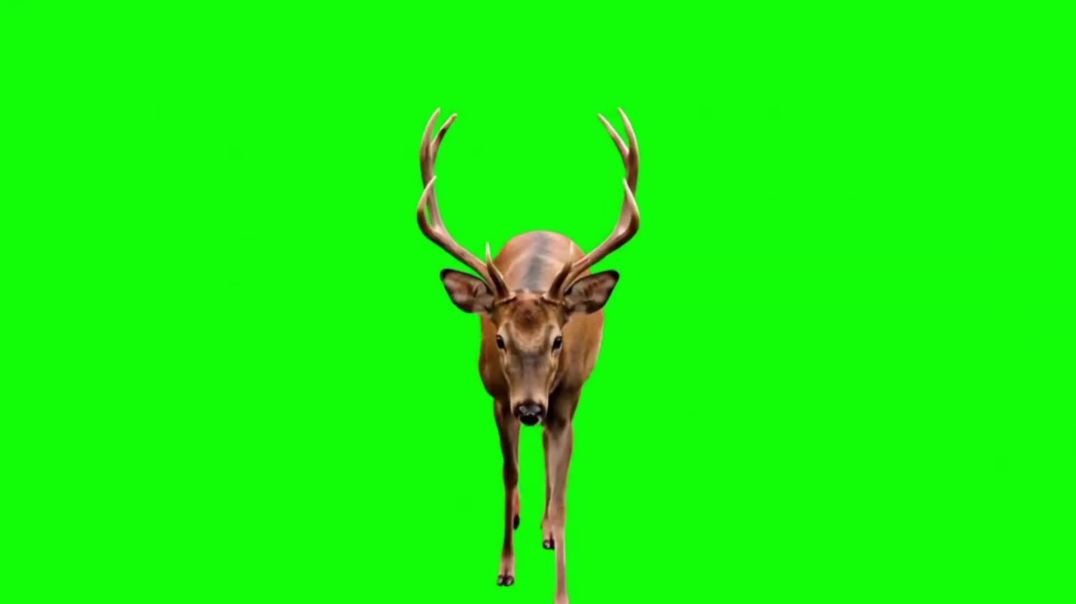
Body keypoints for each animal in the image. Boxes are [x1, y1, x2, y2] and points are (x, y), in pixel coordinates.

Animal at [416, 108, 640, 604]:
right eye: (499, 339)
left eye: (559, 340)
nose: (532, 407)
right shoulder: (499, 398)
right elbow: (509, 473)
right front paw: (505, 570)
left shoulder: (566, 398)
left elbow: (563, 498)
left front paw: (562, 591)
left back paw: (545, 529)